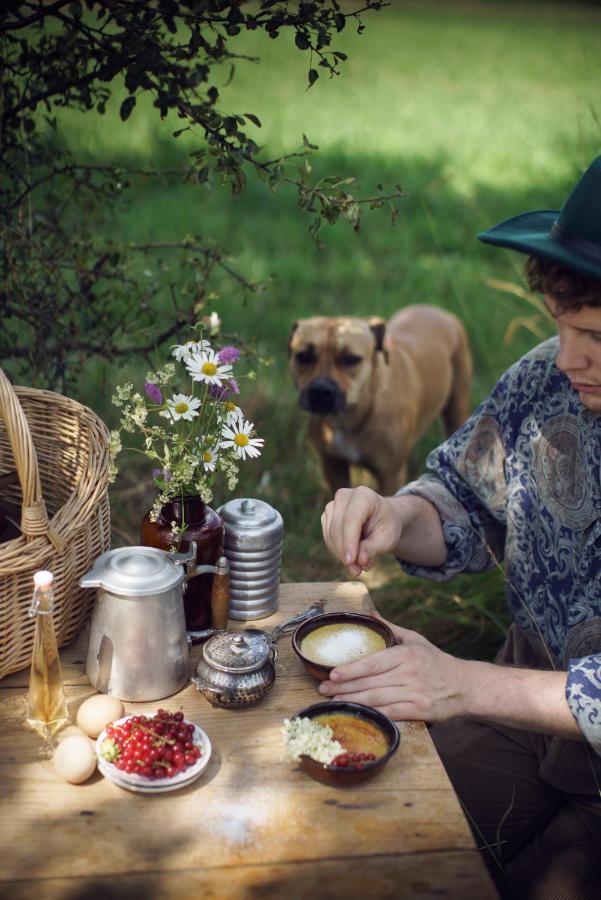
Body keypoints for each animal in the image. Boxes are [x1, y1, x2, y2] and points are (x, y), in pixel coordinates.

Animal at [288, 306, 472, 496]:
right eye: (303, 356)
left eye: (351, 359)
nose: (321, 390)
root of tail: (438, 311)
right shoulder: (333, 465)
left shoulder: (390, 475)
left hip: (457, 405)